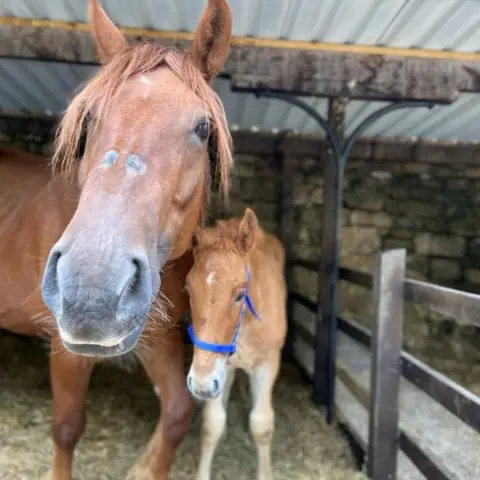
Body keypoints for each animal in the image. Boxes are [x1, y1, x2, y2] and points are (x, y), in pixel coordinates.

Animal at [0, 0, 233, 476]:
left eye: (203, 127)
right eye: (89, 118)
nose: (91, 291)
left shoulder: (158, 338)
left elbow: (178, 414)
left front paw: (145, 468)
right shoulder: (66, 347)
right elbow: (67, 428)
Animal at [186, 207, 286, 480]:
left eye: (241, 294)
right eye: (188, 289)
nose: (200, 385)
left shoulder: (268, 363)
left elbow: (262, 424)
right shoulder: (220, 368)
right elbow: (212, 424)